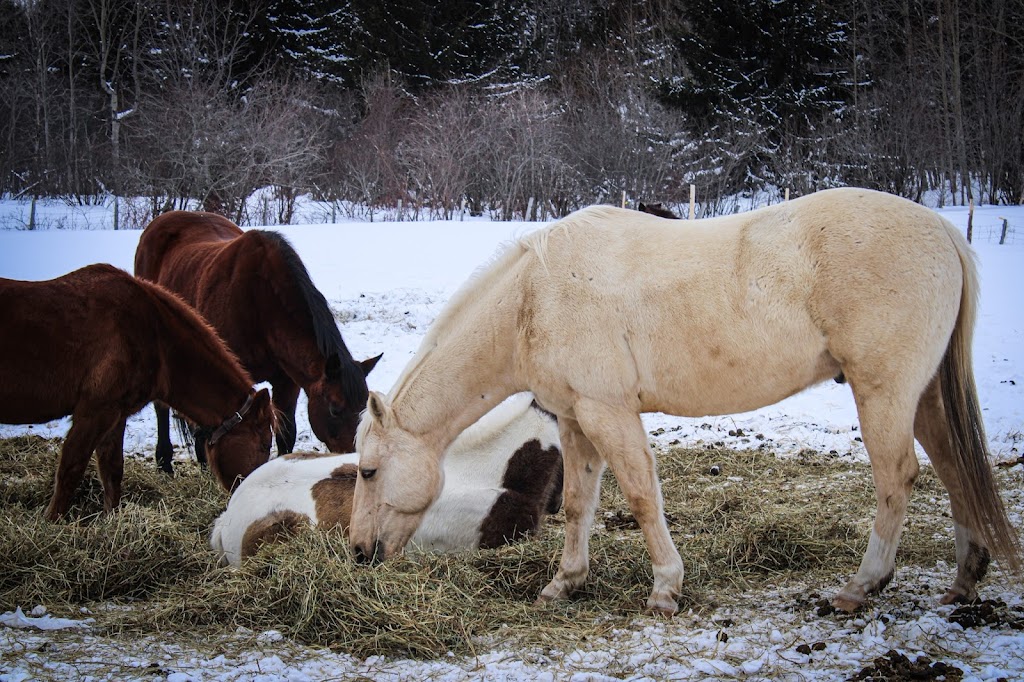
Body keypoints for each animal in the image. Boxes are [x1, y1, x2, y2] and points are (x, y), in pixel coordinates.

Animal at [0, 262, 276, 518]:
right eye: (264, 444)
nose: (255, 499)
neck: (154, 335)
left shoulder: (115, 415)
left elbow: (112, 470)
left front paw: (111, 519)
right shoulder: (93, 412)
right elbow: (71, 469)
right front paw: (52, 521)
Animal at [134, 209, 378, 471]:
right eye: (334, 410)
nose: (354, 461)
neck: (260, 304)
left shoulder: (287, 382)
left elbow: (286, 434)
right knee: (162, 409)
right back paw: (165, 462)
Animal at [348, 187, 1019, 614]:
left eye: (369, 471)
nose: (358, 554)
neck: (532, 299)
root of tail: (944, 233)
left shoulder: (609, 411)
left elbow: (642, 496)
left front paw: (665, 589)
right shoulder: (575, 418)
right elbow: (578, 504)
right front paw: (566, 583)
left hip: (884, 390)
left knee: (897, 478)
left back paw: (861, 587)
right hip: (925, 395)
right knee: (954, 467)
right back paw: (964, 582)